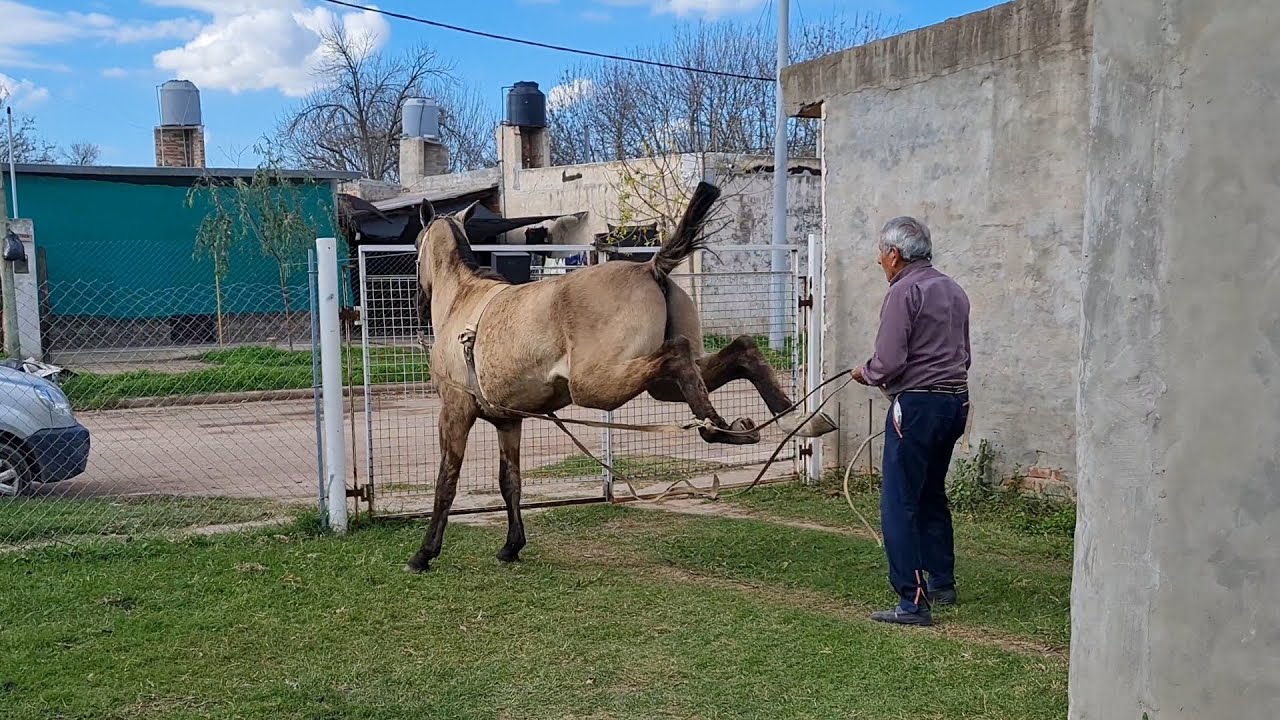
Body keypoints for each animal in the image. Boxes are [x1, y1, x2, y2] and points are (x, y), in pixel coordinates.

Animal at [405, 180, 837, 572]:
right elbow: (510, 482)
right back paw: (792, 420)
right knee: (741, 352)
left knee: (677, 356)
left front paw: (424, 554)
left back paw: (717, 427)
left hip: (599, 386)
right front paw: (512, 546)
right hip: (659, 387)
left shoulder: (455, 412)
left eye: (415, 248)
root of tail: (650, 266)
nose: (419, 304)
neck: (464, 301)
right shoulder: (509, 421)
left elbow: (446, 482)